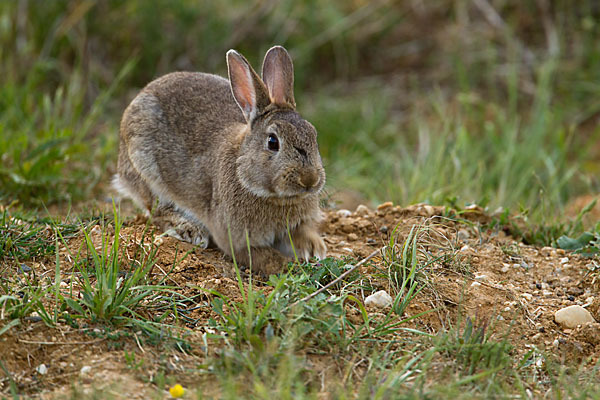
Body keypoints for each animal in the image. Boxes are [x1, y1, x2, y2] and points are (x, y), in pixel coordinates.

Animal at [112, 44, 328, 276]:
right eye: (272, 142)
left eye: (313, 134)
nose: (310, 180)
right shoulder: (235, 239)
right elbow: (261, 256)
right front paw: (287, 266)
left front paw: (315, 249)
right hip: (144, 166)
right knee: (156, 209)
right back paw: (191, 230)